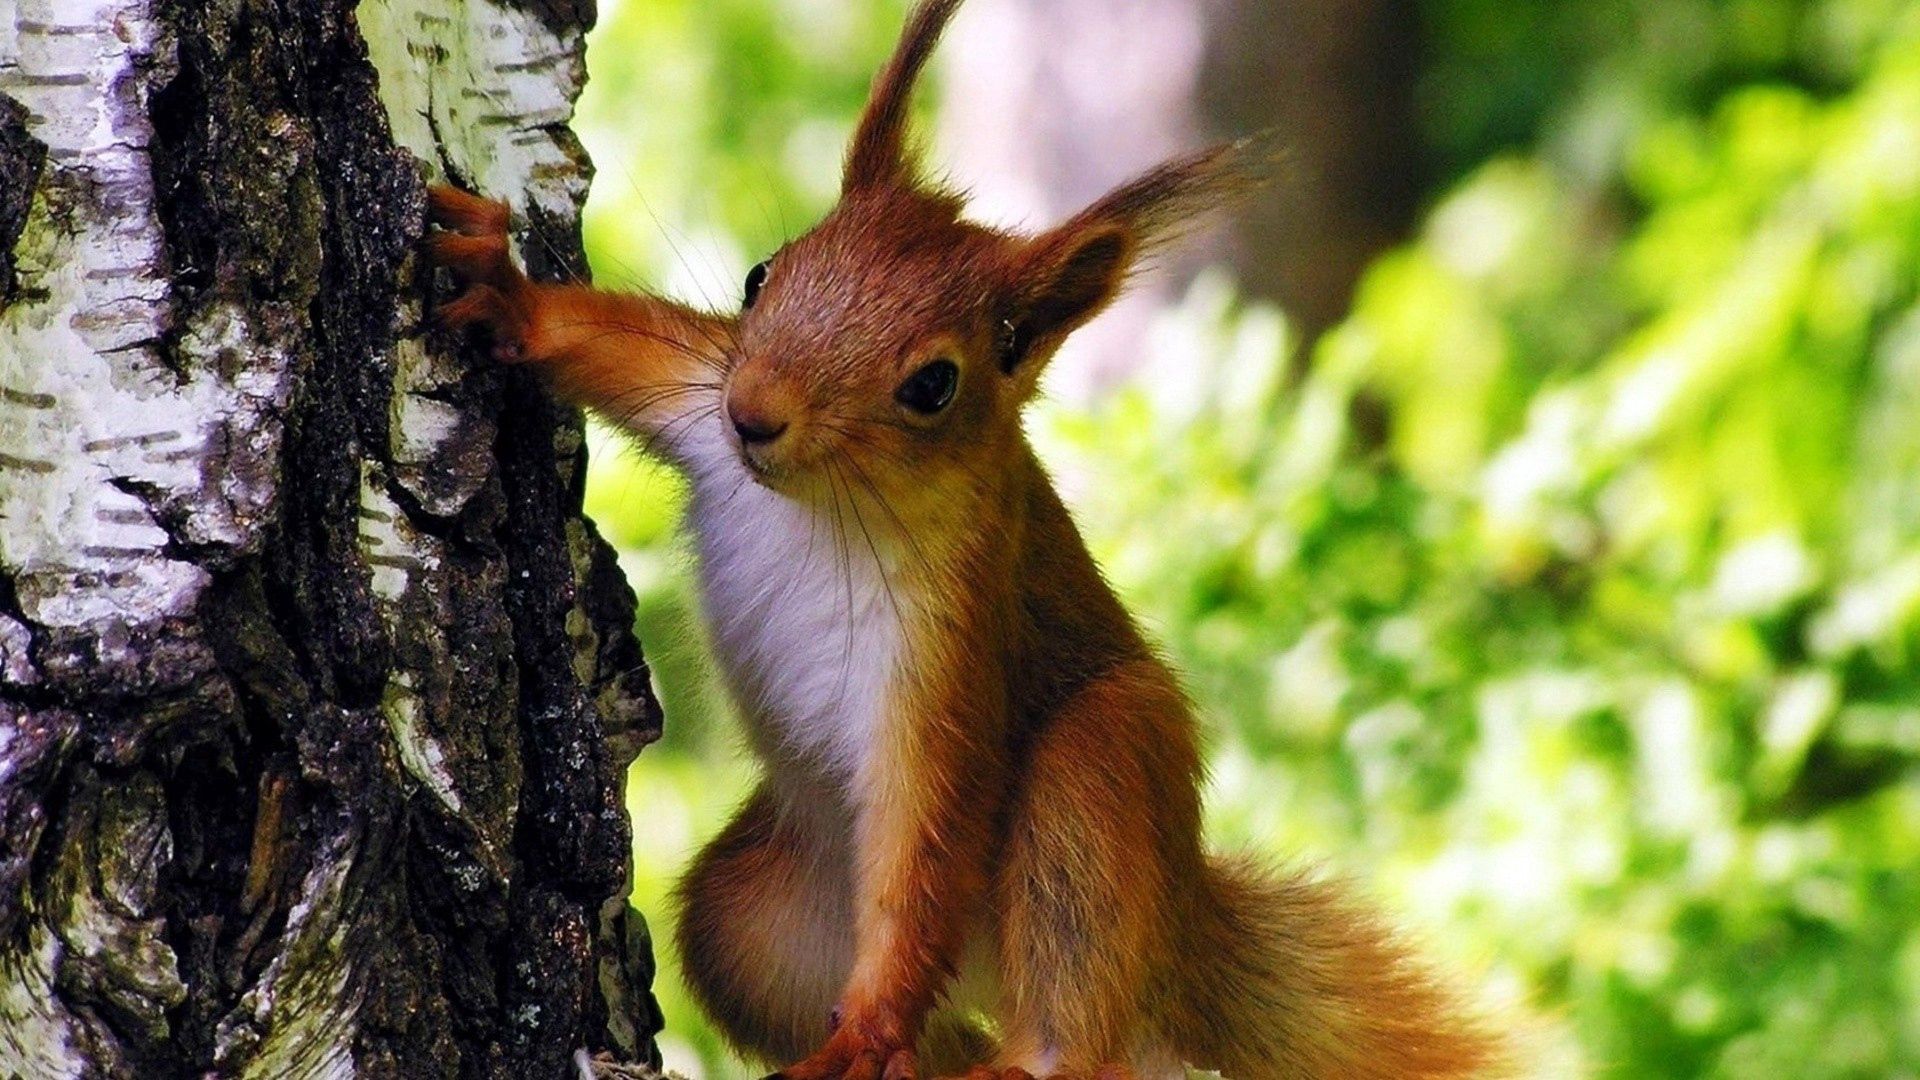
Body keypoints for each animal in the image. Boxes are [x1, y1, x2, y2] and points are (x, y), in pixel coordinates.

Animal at [428, 0, 1505, 1068]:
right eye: (761, 276)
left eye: (933, 386)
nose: (756, 415)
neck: (821, 503)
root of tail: (1177, 945)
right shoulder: (699, 394)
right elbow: (615, 345)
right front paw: (510, 295)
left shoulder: (953, 640)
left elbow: (926, 835)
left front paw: (871, 1023)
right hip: (759, 917)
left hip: (1101, 774)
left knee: (1067, 1014)